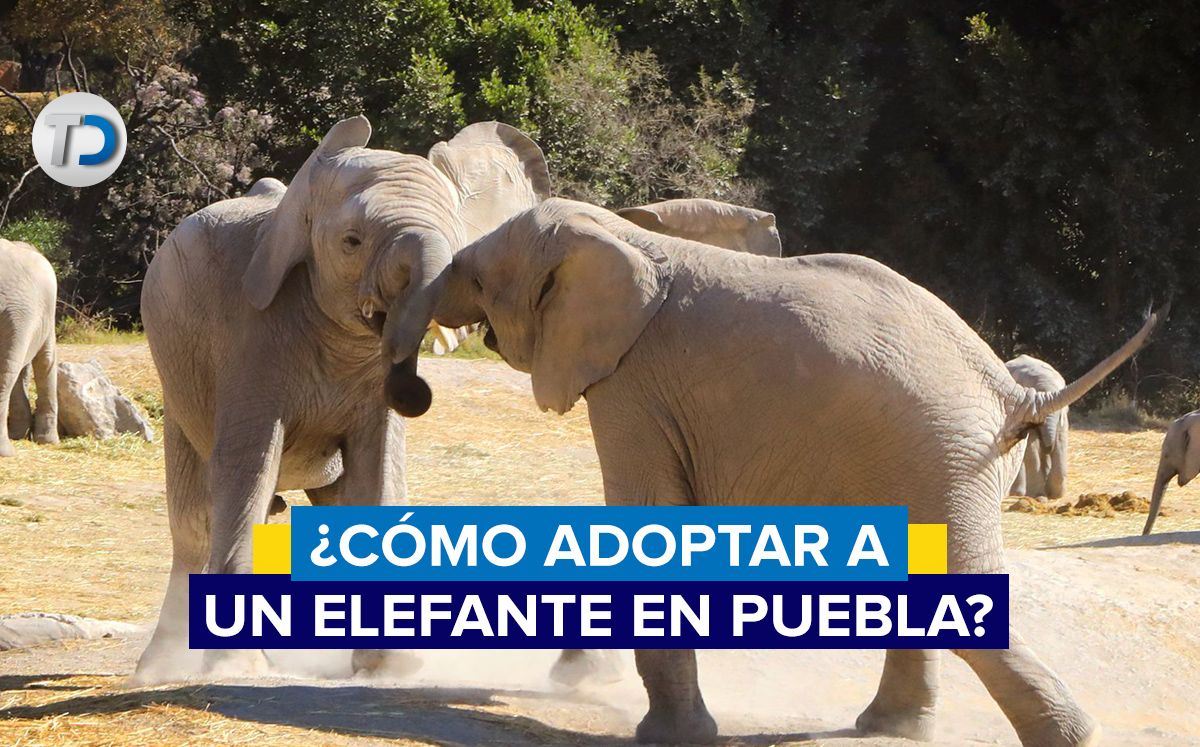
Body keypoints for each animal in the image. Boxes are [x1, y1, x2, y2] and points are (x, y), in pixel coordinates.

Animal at [134, 116, 550, 683]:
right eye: (352, 242)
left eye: (459, 253)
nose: (413, 389)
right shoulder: (246, 338)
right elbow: (247, 469)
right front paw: (236, 668)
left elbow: (377, 473)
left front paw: (392, 669)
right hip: (176, 381)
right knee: (196, 520)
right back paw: (158, 669)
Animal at [1006, 355, 1069, 499]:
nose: (1048, 448)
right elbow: (1031, 445)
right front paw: (1039, 496)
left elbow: (1060, 440)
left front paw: (1057, 495)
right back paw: (1017, 493)